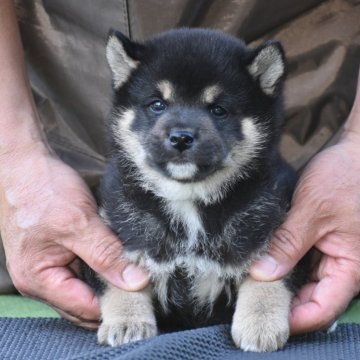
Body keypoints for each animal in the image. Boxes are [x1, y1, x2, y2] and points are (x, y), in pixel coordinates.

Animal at [83, 27, 306, 352]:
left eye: (218, 110)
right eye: (157, 104)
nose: (180, 137)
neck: (189, 200)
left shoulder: (272, 228)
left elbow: (268, 277)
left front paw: (260, 323)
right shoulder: (118, 229)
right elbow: (120, 281)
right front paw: (127, 321)